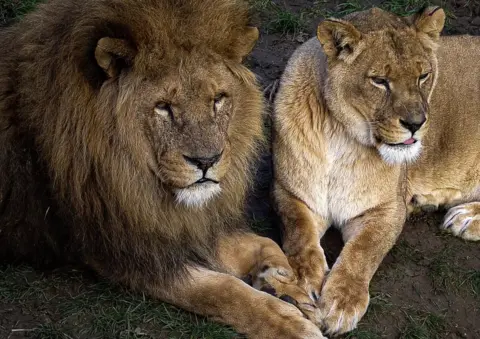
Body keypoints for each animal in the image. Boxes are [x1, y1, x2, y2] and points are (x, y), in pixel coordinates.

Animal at [0, 1, 326, 338]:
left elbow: (264, 243)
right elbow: (220, 290)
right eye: (163, 106)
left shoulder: (171, 220)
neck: (126, 170)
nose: (207, 161)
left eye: (218, 99)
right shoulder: (120, 246)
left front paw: (287, 286)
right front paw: (286, 321)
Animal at [272, 5, 478, 338]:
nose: (415, 123)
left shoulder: (388, 207)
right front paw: (304, 282)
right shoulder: (290, 192)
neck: (342, 136)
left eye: (423, 76)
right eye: (380, 81)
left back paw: (466, 217)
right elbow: (297, 233)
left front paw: (342, 302)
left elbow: (363, 252)